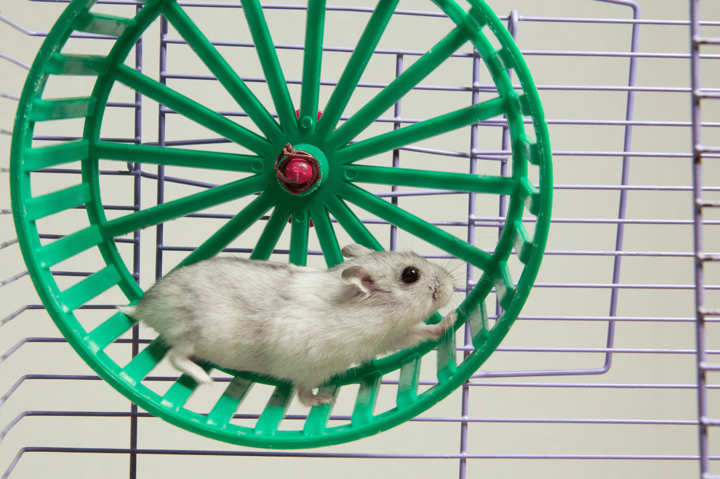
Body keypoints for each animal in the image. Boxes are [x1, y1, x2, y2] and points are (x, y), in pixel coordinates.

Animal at [120, 244, 457, 406]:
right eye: (411, 274)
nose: (455, 285)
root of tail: (143, 304)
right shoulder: (309, 367)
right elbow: (304, 393)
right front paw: (325, 400)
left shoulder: (389, 338)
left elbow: (418, 333)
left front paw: (452, 319)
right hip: (191, 332)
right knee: (175, 356)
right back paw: (204, 379)